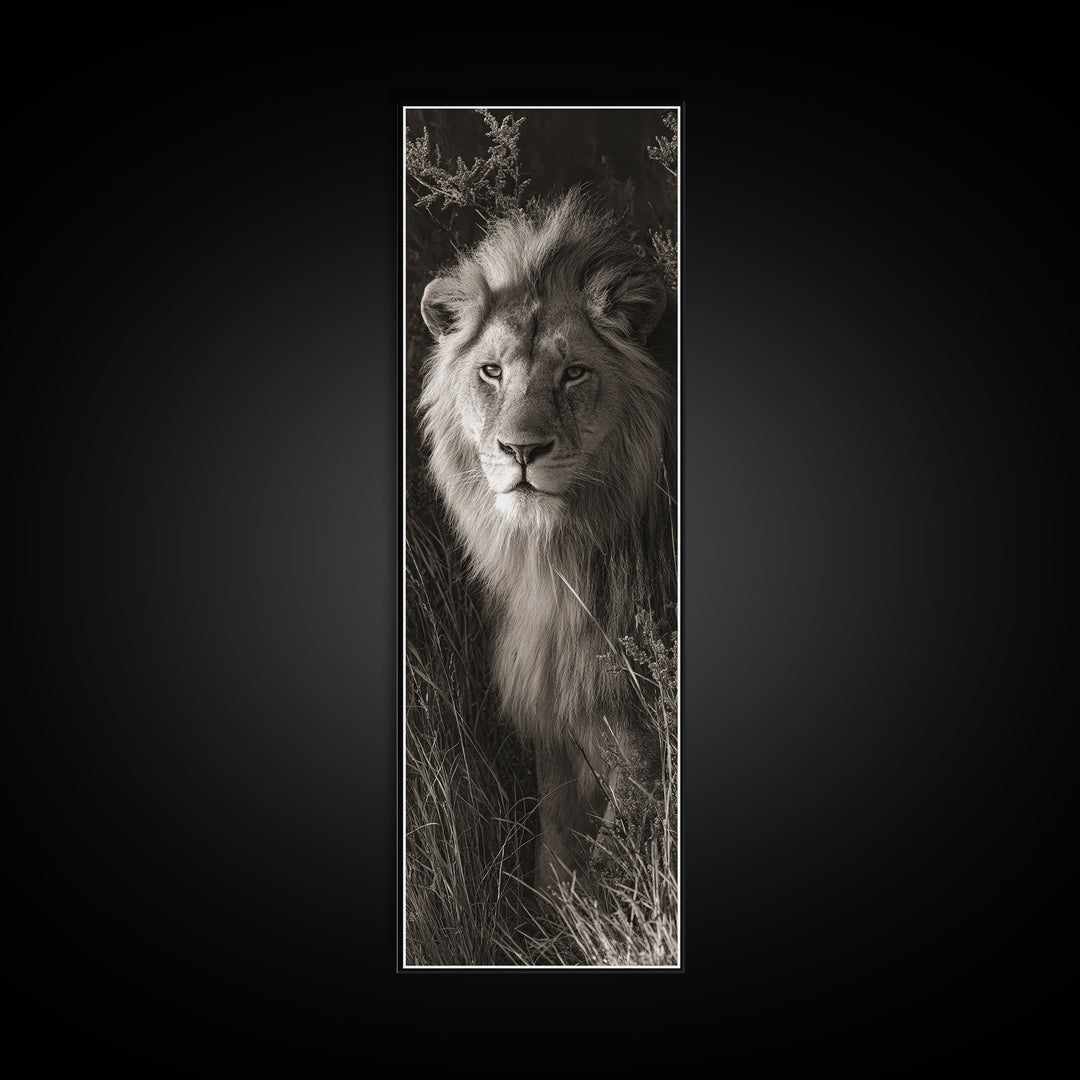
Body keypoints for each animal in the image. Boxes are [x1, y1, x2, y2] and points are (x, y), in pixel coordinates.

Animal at [417, 188, 677, 891]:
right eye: (491, 371)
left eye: (574, 374)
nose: (521, 450)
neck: (560, 560)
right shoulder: (559, 724)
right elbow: (555, 855)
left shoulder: (639, 741)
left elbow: (618, 860)